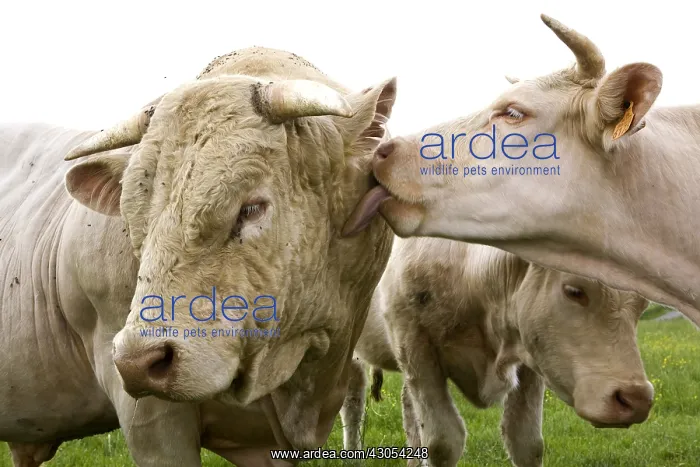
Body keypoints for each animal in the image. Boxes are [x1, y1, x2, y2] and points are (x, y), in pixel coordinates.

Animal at [339, 237, 653, 467]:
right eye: (574, 290)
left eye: (643, 303)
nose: (636, 398)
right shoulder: (414, 344)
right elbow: (443, 443)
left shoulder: (530, 358)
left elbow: (526, 442)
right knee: (352, 400)